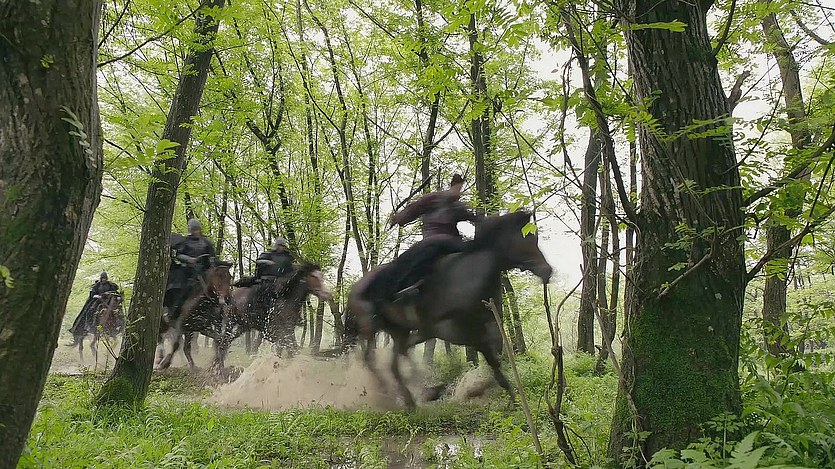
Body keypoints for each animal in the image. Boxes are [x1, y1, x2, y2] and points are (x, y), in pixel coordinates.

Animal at [345, 211, 553, 407]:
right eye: (527, 239)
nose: (547, 270)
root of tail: (356, 288)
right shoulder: (452, 330)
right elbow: (489, 357)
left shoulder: (481, 328)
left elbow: (495, 361)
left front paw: (511, 398)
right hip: (370, 326)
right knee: (370, 358)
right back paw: (387, 391)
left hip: (397, 329)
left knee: (393, 361)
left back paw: (410, 398)